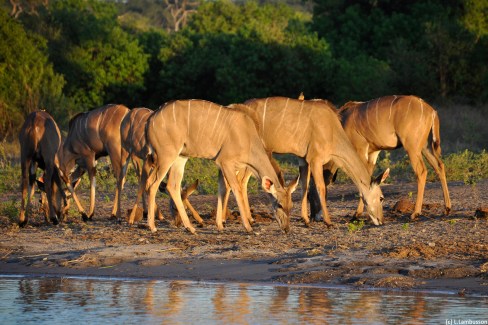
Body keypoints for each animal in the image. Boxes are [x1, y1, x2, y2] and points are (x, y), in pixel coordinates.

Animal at [145, 98, 298, 233]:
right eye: (279, 204)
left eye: (291, 205)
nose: (286, 229)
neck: (248, 137)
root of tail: (151, 119)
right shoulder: (226, 162)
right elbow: (236, 188)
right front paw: (248, 227)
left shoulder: (221, 165)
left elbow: (222, 189)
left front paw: (220, 225)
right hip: (166, 155)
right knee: (152, 183)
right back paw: (152, 227)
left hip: (180, 157)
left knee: (172, 185)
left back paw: (191, 228)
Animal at [223, 97, 390, 227]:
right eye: (381, 198)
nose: (381, 221)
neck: (332, 130)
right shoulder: (315, 159)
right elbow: (321, 187)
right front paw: (328, 221)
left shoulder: (304, 159)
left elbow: (304, 185)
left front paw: (306, 220)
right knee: (239, 181)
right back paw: (244, 219)